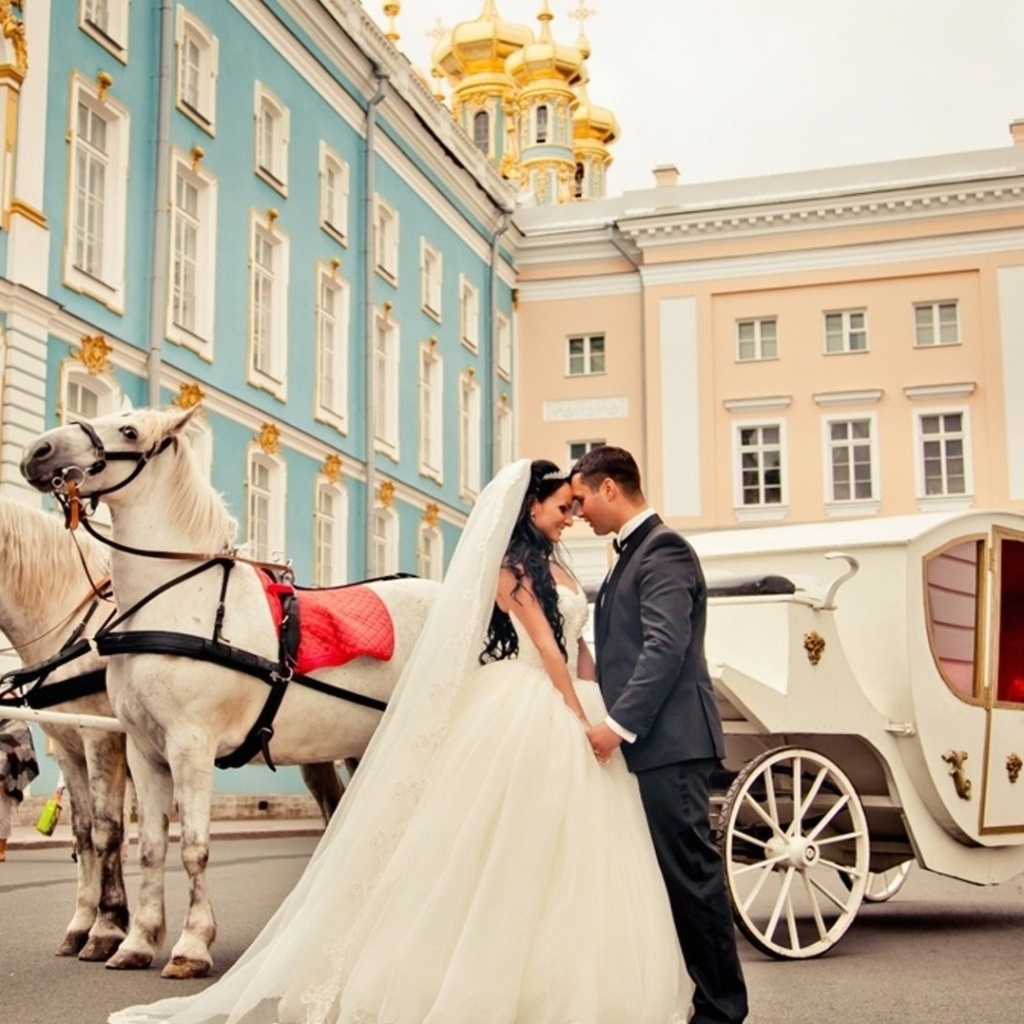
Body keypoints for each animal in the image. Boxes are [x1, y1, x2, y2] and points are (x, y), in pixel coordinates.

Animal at [0, 495, 131, 958]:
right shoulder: (71, 749)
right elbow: (84, 832)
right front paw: (82, 924)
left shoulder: (103, 739)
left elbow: (109, 830)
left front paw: (107, 928)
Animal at [18, 403, 436, 978]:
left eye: (128, 430)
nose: (38, 451)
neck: (175, 601)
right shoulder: (143, 752)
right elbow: (149, 845)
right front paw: (138, 940)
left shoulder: (187, 748)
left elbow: (191, 846)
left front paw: (191, 944)